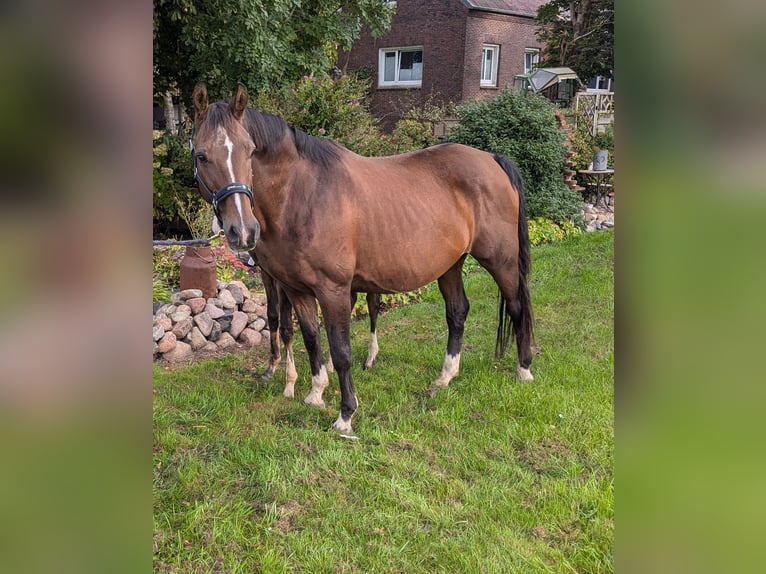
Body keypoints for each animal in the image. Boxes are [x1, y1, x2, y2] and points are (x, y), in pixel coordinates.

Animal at [192, 80, 536, 432]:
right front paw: (315, 395)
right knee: (457, 312)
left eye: (250, 151)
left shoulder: (333, 290)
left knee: (517, 305)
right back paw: (445, 377)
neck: (303, 195)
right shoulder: (297, 290)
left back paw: (523, 370)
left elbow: (341, 350)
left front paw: (345, 415)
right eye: (201, 155)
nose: (243, 231)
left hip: (501, 260)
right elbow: (311, 339)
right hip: (451, 264)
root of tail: (493, 159)